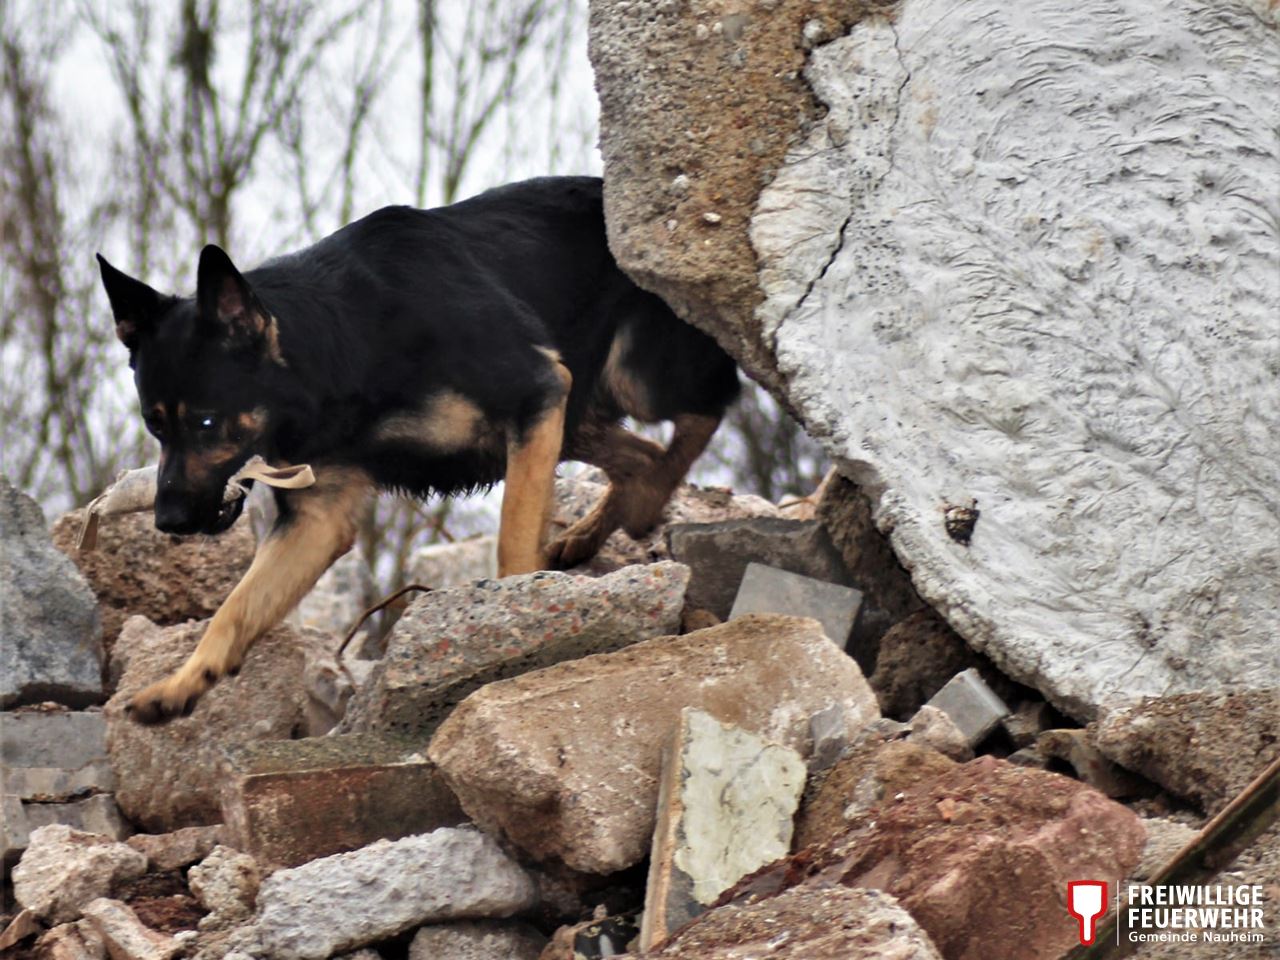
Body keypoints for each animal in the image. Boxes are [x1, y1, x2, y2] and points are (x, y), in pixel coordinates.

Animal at [96, 176, 740, 724]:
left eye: (206, 422)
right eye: (155, 426)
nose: (168, 521)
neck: (346, 340)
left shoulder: (535, 392)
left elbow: (512, 538)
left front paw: (521, 617)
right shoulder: (317, 519)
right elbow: (235, 609)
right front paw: (184, 683)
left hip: (630, 379)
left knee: (705, 411)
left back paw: (643, 504)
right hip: (576, 414)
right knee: (641, 456)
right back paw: (591, 530)